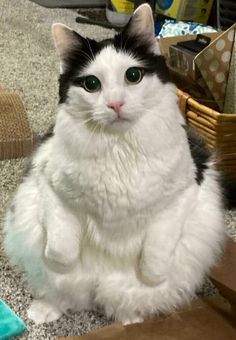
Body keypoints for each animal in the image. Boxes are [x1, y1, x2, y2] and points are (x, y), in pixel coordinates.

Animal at [3, 3, 226, 326]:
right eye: (91, 84)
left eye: (133, 76)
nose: (116, 104)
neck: (118, 149)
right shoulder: (49, 184)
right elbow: (60, 253)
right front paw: (62, 263)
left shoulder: (184, 192)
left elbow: (155, 263)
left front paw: (151, 275)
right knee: (62, 290)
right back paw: (45, 311)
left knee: (124, 298)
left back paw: (130, 319)